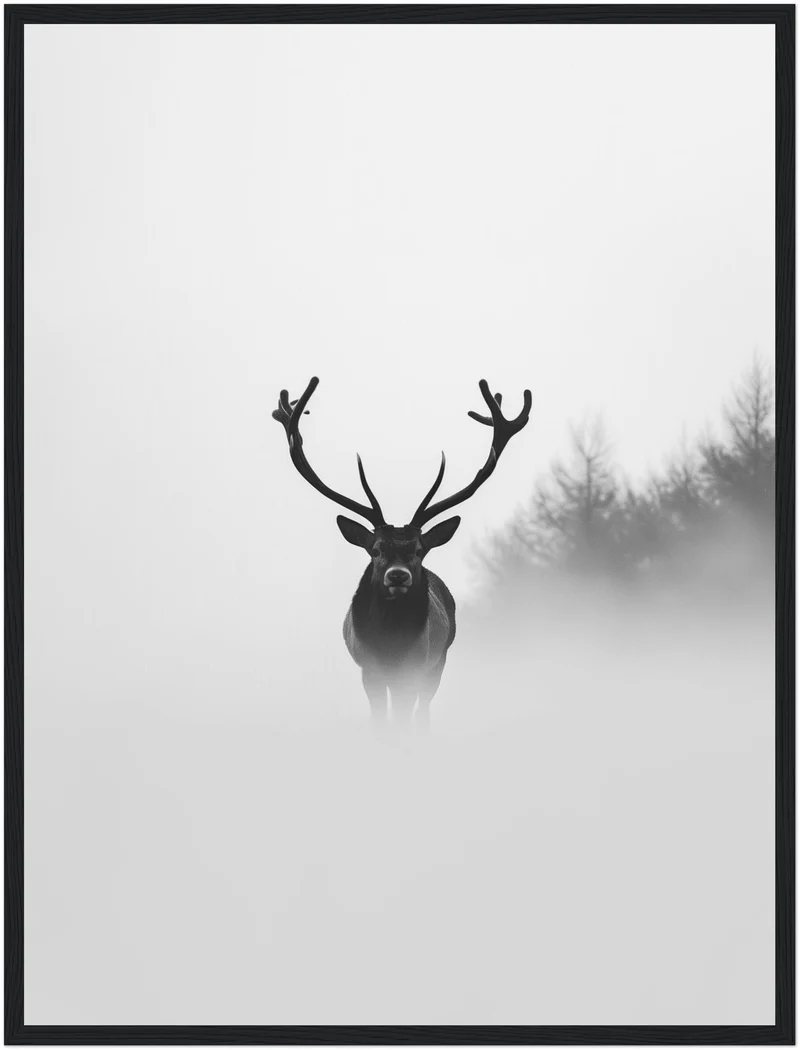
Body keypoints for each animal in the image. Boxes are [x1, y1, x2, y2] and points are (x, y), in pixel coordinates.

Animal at [272, 377, 531, 727]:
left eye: (420, 550)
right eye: (375, 549)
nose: (398, 576)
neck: (390, 644)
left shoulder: (417, 666)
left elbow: (404, 718)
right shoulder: (368, 669)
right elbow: (381, 721)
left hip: (438, 662)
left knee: (422, 711)